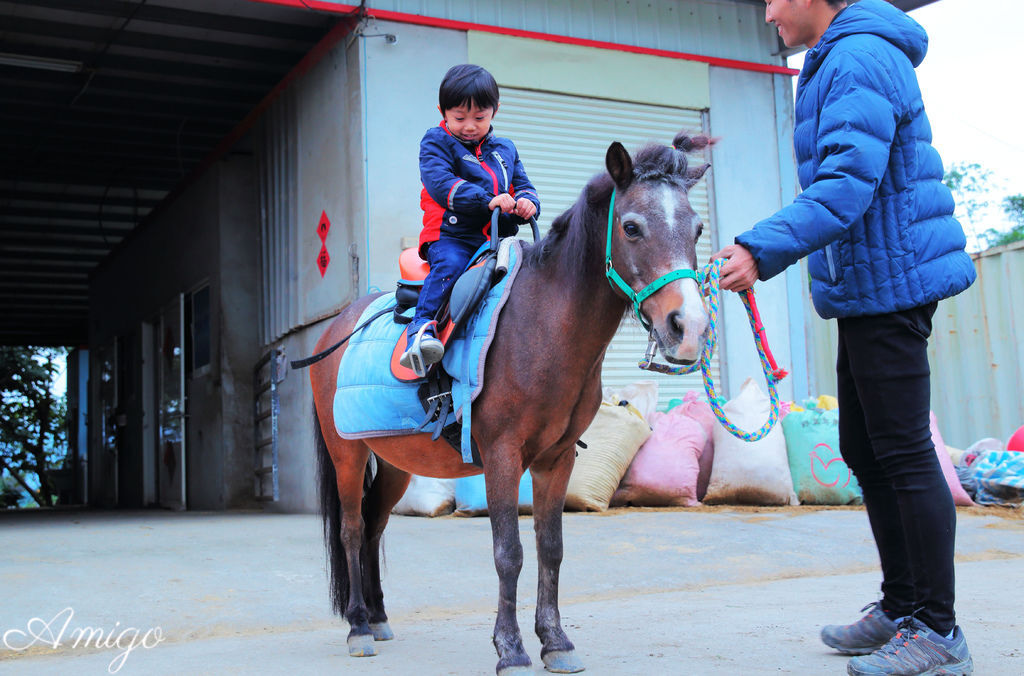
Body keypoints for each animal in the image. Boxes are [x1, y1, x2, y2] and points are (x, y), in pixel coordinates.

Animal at [307, 132, 716, 676]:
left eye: (697, 229)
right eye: (631, 227)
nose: (687, 328)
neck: (542, 326)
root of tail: (335, 327)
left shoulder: (556, 460)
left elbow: (551, 547)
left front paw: (555, 641)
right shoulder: (502, 455)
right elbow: (509, 552)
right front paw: (511, 648)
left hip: (394, 461)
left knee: (373, 526)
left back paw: (377, 617)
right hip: (347, 454)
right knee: (352, 529)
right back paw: (357, 627)